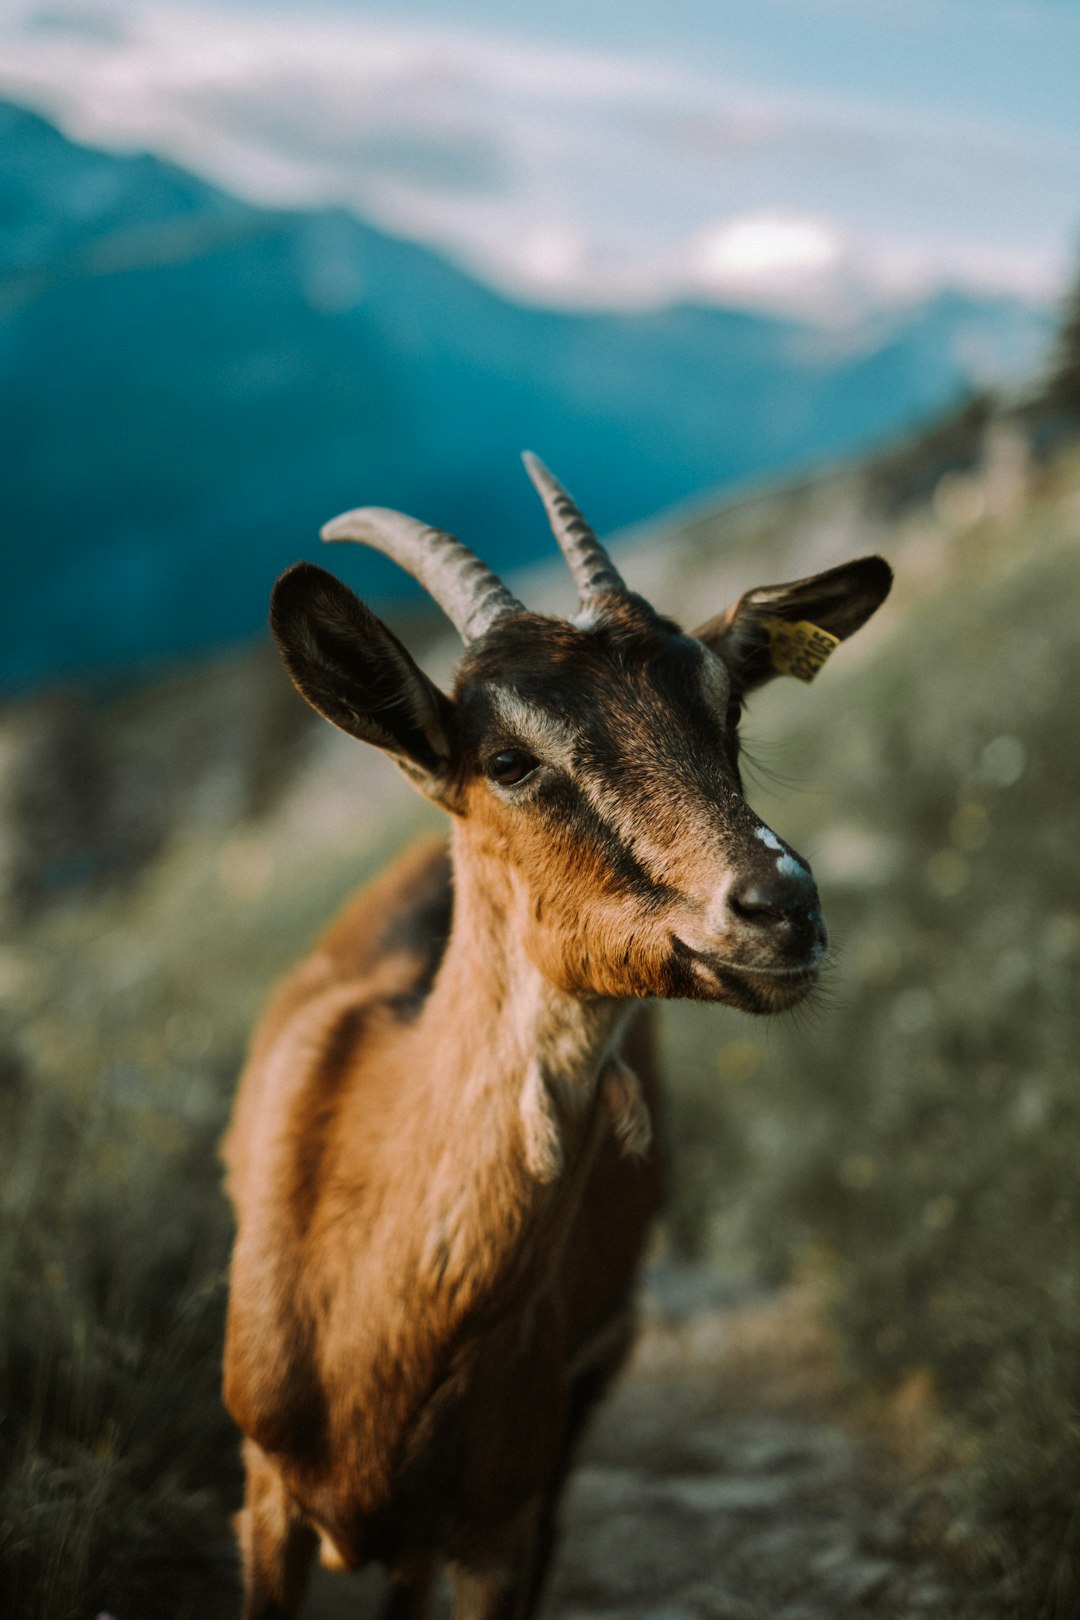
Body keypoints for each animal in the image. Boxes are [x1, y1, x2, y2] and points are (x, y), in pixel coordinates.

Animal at [216, 456, 887, 1620]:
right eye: (507, 759)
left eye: (727, 714)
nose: (781, 906)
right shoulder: (265, 1499)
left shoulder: (501, 1522)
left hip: (593, 1380)